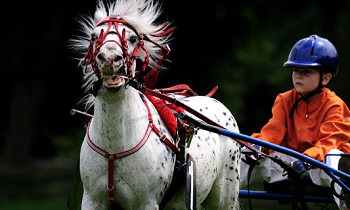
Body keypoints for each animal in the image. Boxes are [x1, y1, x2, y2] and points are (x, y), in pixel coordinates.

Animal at [69, 0, 242, 209]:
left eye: (133, 38)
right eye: (94, 36)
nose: (110, 59)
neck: (113, 146)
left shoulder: (146, 202)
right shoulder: (93, 200)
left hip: (224, 198)